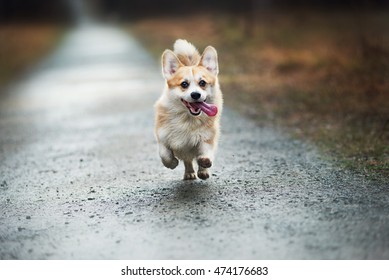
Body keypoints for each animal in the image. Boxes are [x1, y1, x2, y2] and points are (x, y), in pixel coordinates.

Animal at [154, 38, 221, 179]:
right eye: (184, 84)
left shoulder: (207, 137)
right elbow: (165, 154)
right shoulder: (162, 137)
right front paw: (172, 163)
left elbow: (206, 151)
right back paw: (189, 173)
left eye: (202, 83)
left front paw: (205, 163)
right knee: (187, 160)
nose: (195, 94)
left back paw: (202, 171)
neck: (187, 118)